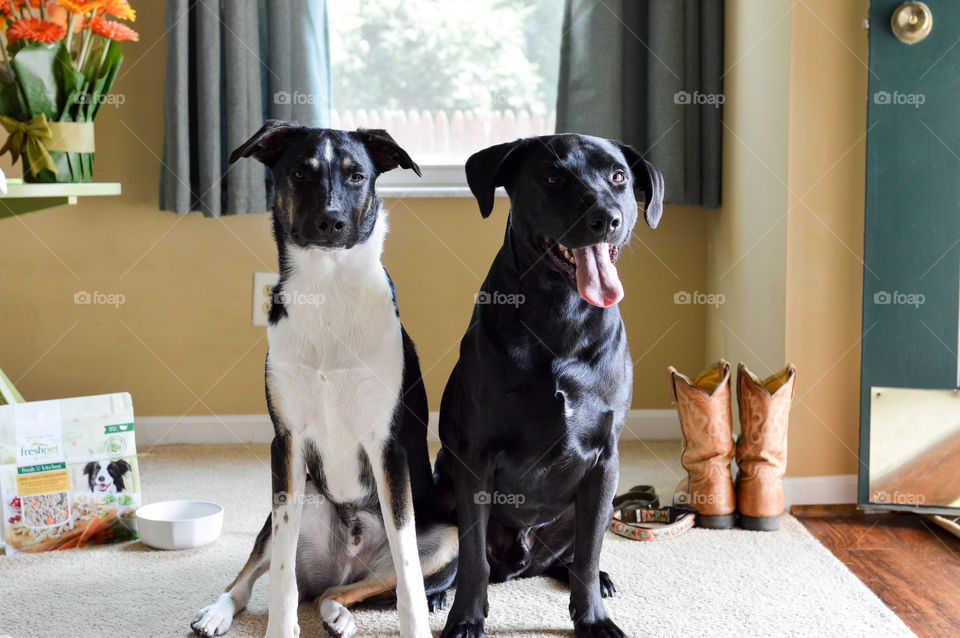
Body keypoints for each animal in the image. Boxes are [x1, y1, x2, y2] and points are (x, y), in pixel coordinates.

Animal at [192, 121, 458, 638]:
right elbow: (279, 579)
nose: (332, 221)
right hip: (299, 501)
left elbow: (409, 575)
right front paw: (279, 629)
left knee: (345, 589)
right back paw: (218, 611)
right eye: (300, 172)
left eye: (357, 175)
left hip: (446, 537)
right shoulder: (287, 443)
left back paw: (338, 614)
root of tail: (344, 561)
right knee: (258, 578)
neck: (329, 288)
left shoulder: (387, 446)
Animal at [434, 135, 664, 638]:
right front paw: (466, 618)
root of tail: (522, 561)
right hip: (440, 482)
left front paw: (592, 618)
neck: (562, 312)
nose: (606, 218)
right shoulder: (473, 459)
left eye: (619, 176)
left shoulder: (604, 461)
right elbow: (473, 557)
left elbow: (589, 550)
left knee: (573, 557)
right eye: (552, 177)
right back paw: (437, 592)